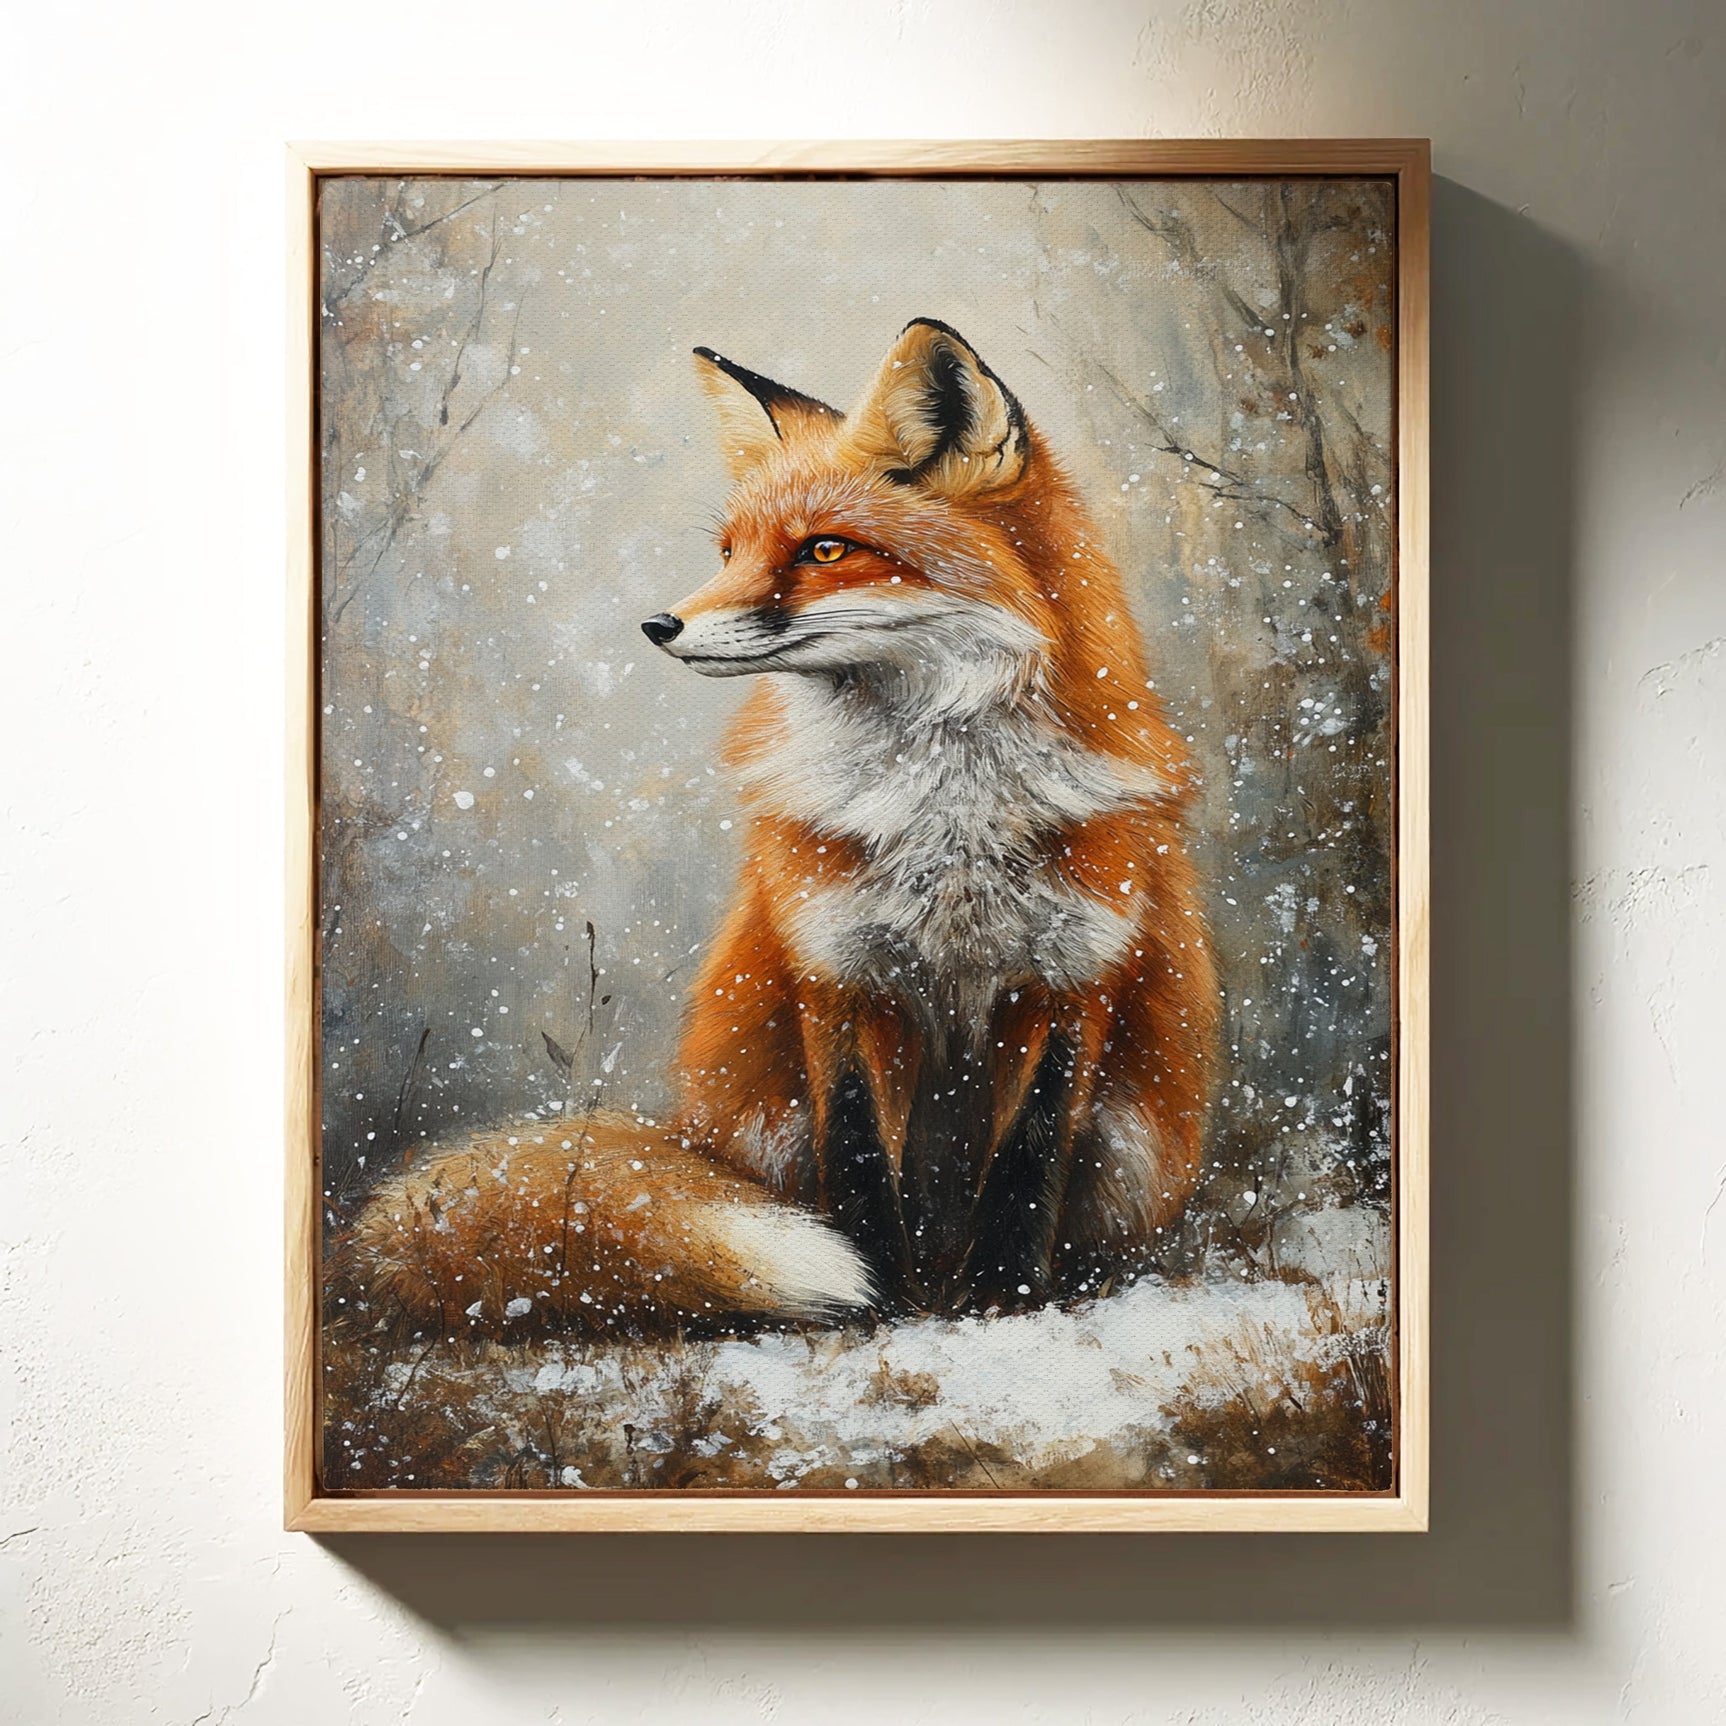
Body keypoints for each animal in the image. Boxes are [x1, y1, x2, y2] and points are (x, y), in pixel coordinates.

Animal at [347, 318, 1220, 1336]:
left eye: (826, 551)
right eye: (730, 549)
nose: (659, 624)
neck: (948, 812)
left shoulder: (1073, 976)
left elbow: (1028, 1161)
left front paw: (1005, 1298)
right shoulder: (838, 970)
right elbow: (858, 1155)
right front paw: (881, 1296)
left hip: (1140, 1140)